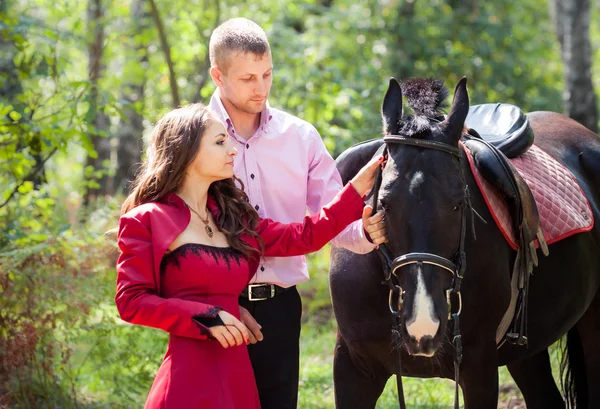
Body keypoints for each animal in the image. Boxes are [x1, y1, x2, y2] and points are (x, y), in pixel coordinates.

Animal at [330, 77, 600, 408]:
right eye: (384, 203)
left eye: (459, 203)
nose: (423, 324)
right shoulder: (352, 368)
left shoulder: (478, 368)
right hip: (527, 349)